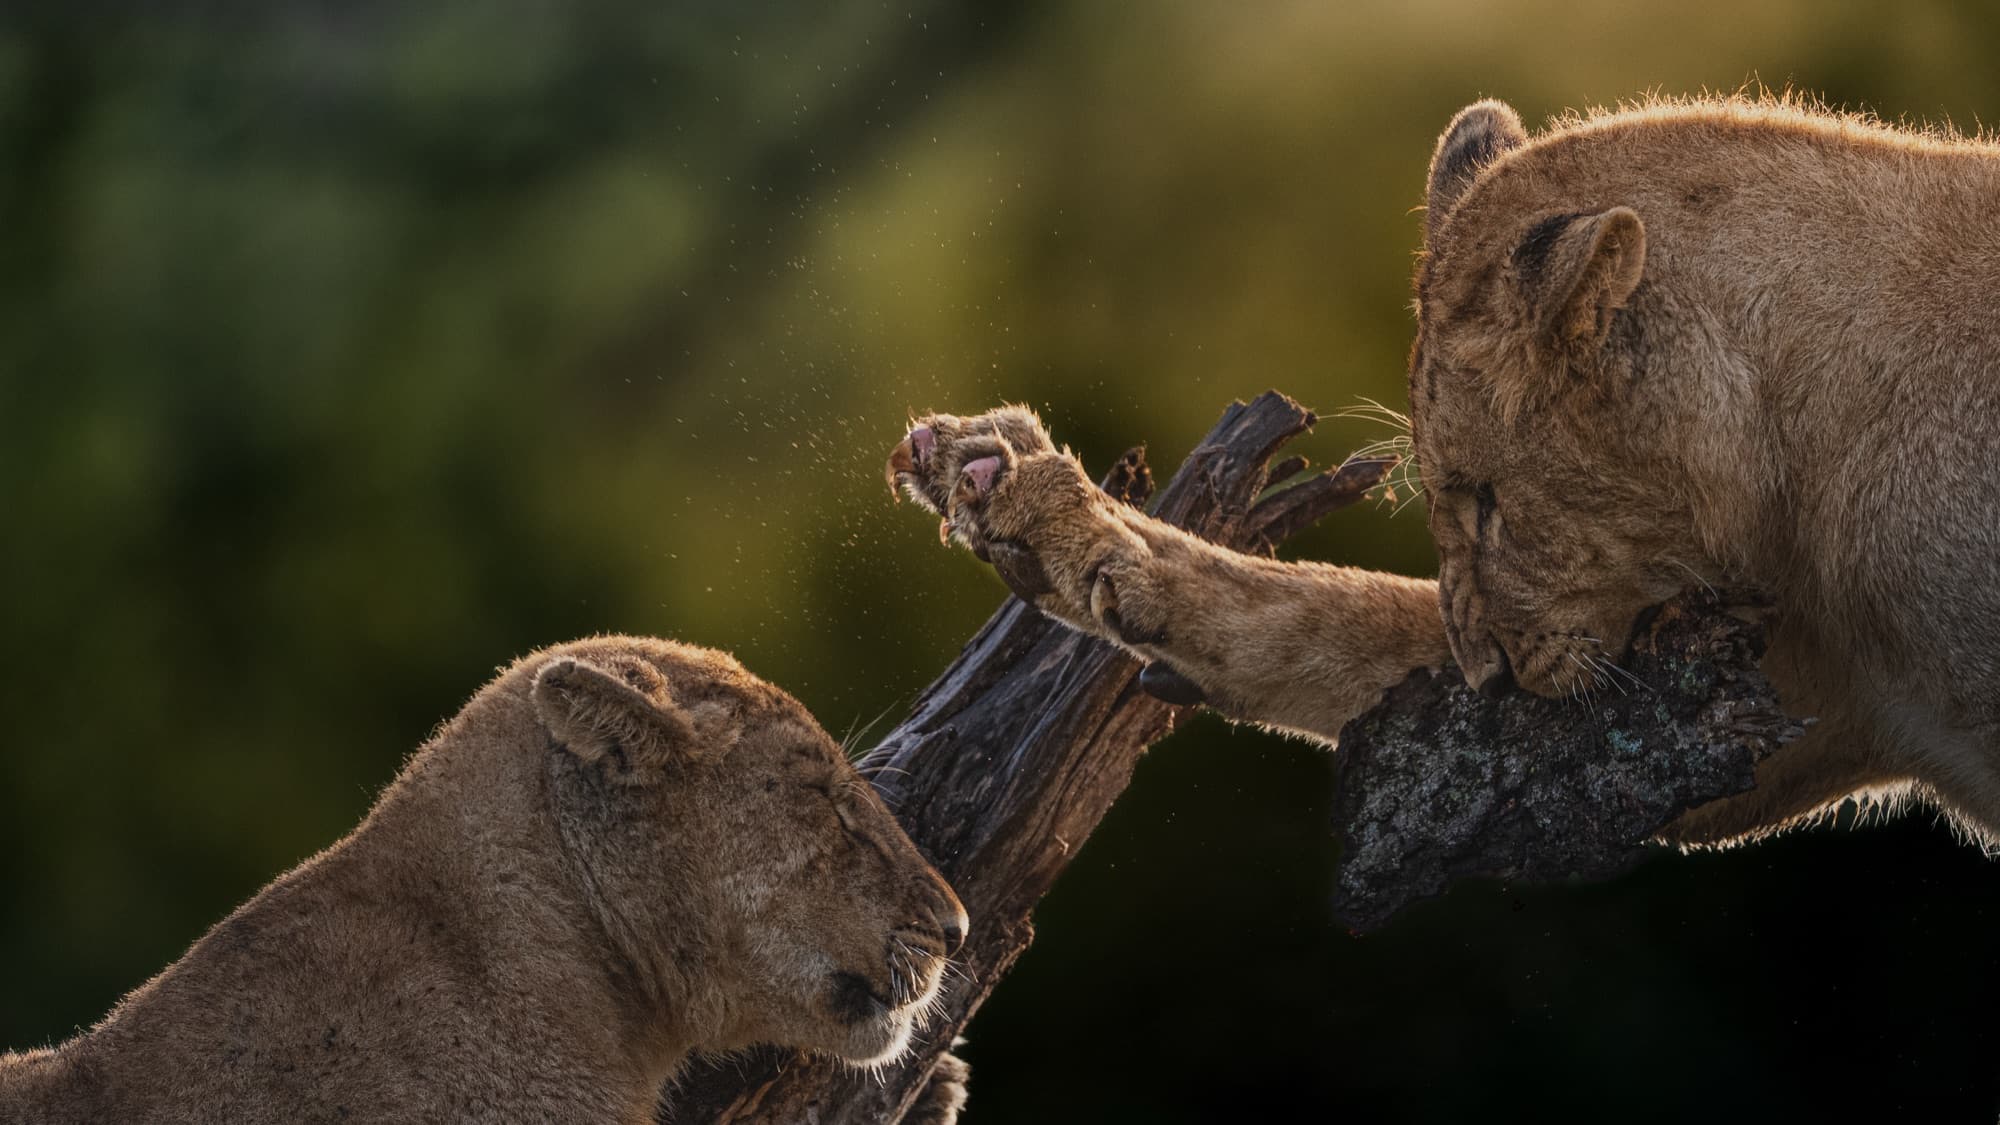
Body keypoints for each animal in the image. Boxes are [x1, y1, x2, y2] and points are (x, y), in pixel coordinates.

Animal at [888, 94, 2000, 851]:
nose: (1489, 678)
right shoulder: (1809, 699)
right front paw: (1020, 499)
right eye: (1443, 501)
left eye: (1488, 502)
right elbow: (1325, 618)